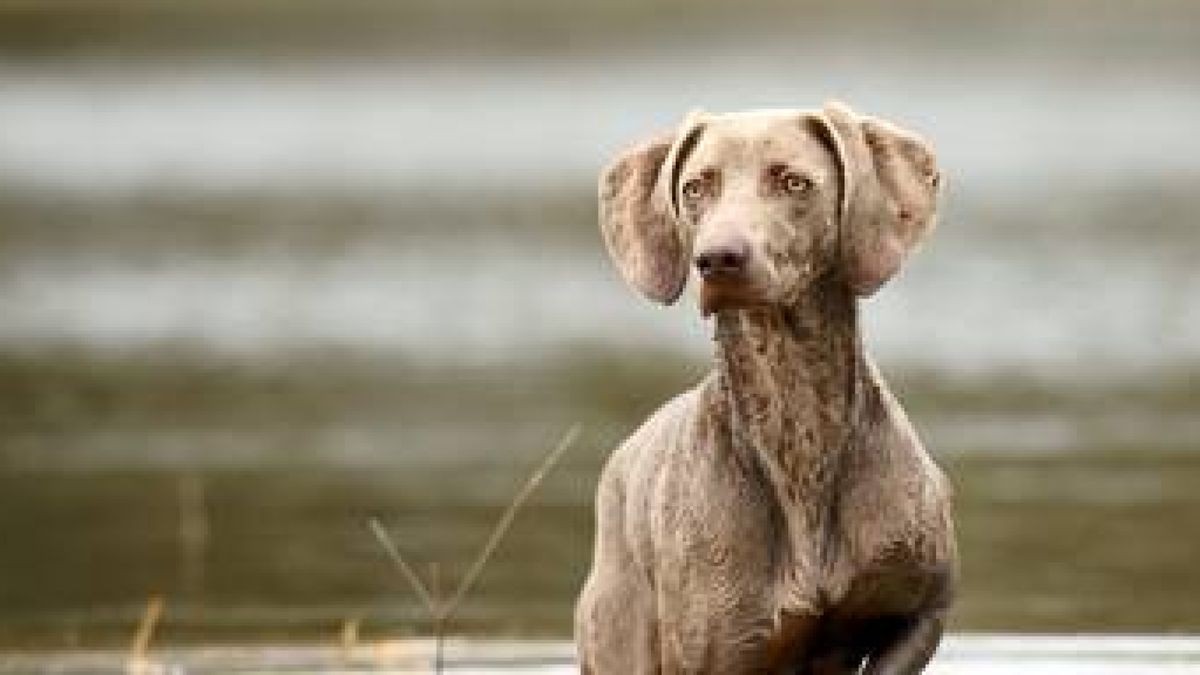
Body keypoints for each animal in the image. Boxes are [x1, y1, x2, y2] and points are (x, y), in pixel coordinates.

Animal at [576, 100, 960, 672]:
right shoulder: (719, 649)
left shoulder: (921, 609)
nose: (718, 258)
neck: (799, 431)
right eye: (696, 187)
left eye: (793, 182)